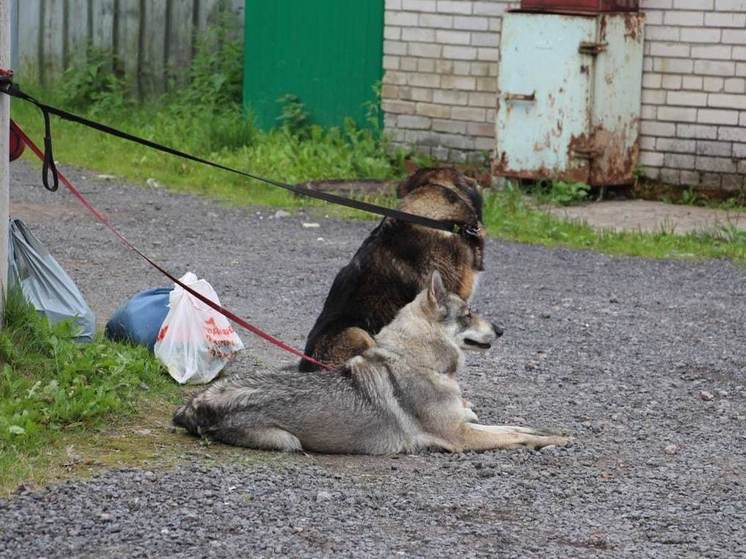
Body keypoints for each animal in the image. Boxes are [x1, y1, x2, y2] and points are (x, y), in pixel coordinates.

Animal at [174, 274, 568, 458]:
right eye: (469, 314)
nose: (501, 329)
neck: (416, 361)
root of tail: (194, 405)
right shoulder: (459, 436)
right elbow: (513, 435)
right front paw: (551, 440)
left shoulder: (466, 424)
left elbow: (517, 426)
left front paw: (550, 434)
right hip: (288, 441)